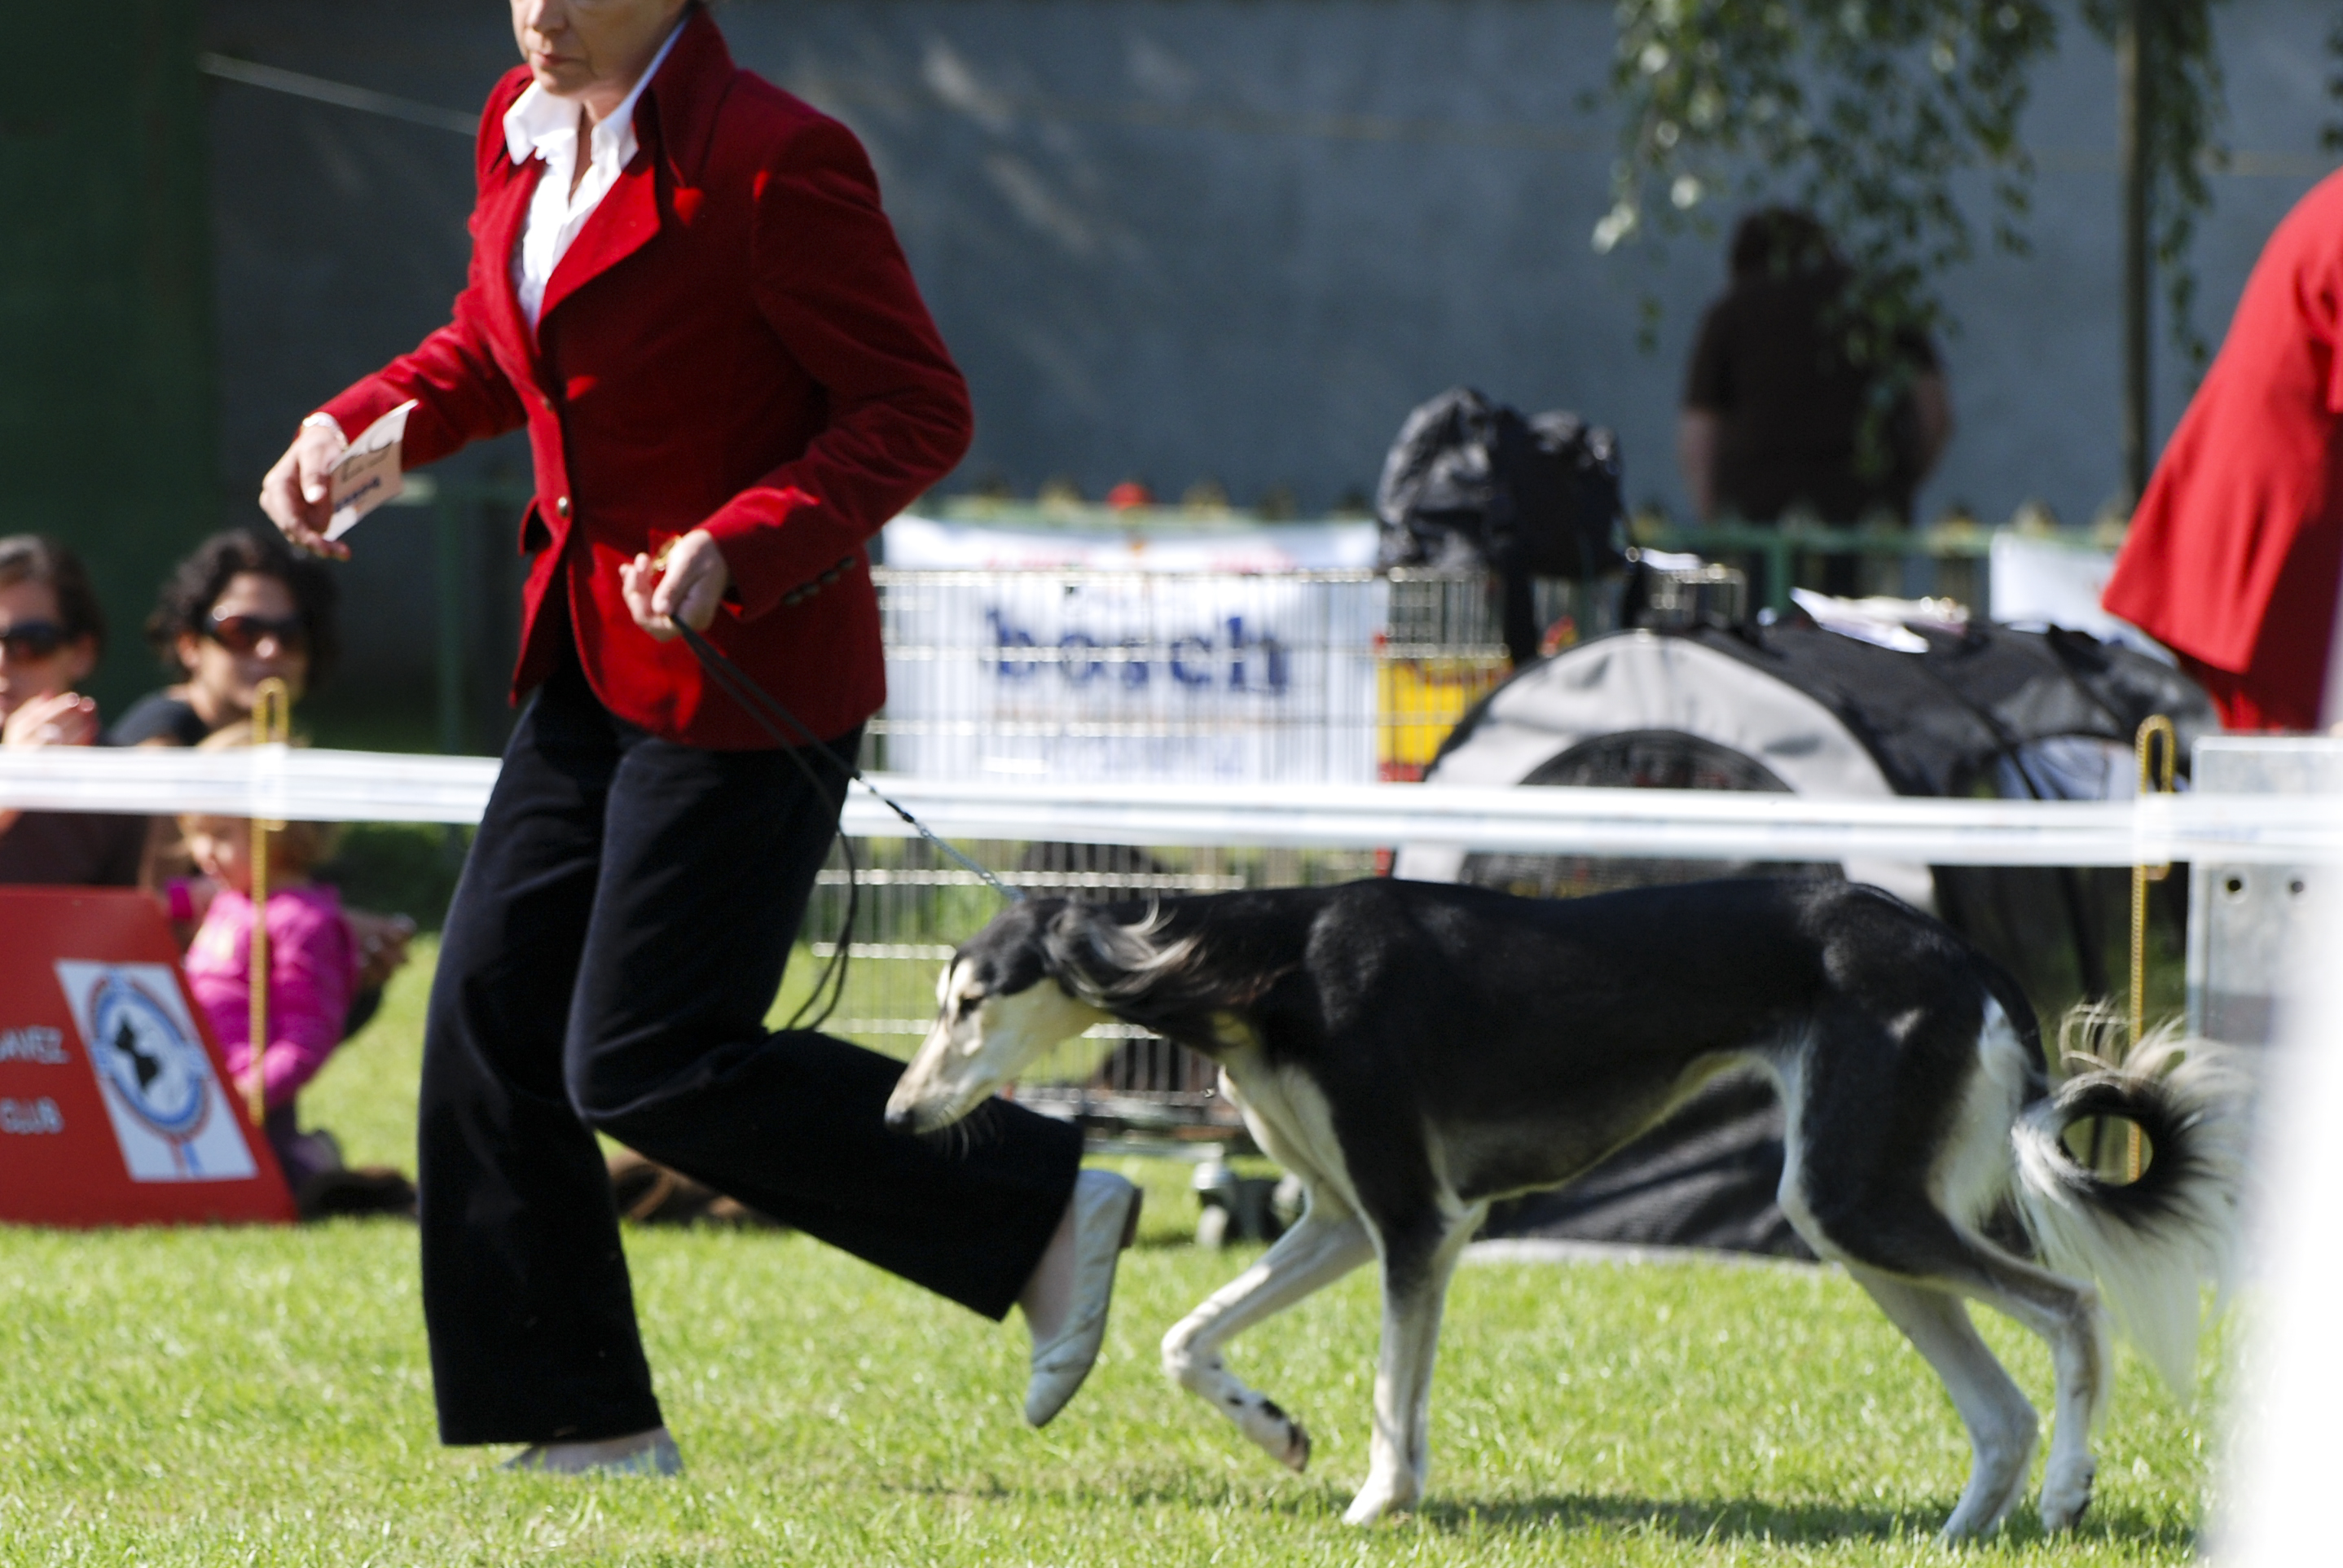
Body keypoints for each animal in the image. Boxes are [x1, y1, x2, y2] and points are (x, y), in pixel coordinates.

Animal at [883, 876, 2243, 1539]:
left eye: (970, 1001)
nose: (895, 1118)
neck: (1264, 965)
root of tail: (1959, 951)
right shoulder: (1336, 1218)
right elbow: (1183, 1338)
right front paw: (1273, 1430)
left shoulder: (1416, 1221)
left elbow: (1392, 1398)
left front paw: (1379, 1504)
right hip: (1850, 1212)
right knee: (1999, 1404)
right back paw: (1966, 1528)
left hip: (1860, 1201)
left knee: (2074, 1310)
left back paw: (2066, 1492)